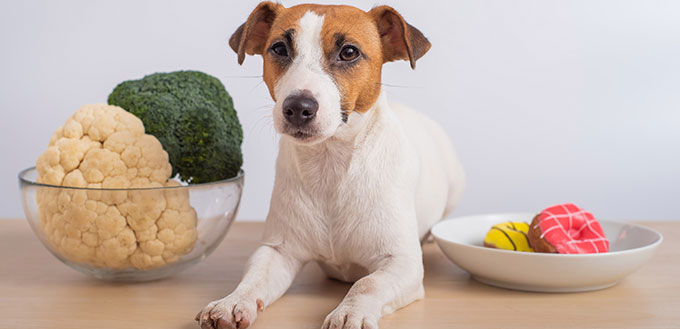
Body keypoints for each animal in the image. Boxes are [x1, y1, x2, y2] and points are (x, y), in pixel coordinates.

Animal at [194, 2, 464, 328]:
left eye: (348, 52)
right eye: (279, 48)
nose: (298, 107)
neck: (330, 165)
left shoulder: (402, 263)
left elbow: (367, 283)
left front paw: (351, 311)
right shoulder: (278, 250)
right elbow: (254, 276)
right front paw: (232, 301)